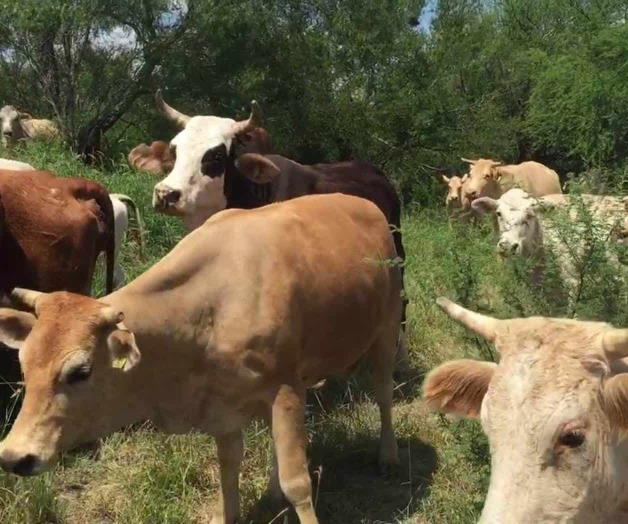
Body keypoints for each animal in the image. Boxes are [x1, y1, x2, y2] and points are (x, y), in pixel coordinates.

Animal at [0, 192, 402, 524]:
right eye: (25, 365)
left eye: (80, 371)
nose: (14, 456)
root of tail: (365, 204)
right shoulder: (223, 404)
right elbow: (228, 469)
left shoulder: (285, 389)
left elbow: (298, 483)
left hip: (385, 330)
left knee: (384, 394)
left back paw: (388, 456)